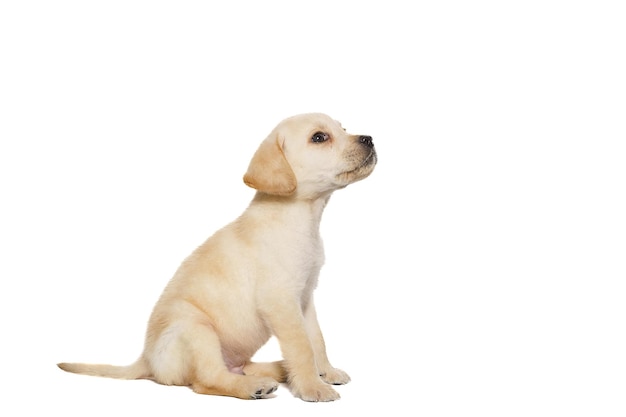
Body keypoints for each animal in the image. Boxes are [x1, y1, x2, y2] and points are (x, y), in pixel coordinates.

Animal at [59, 113, 376, 400]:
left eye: (343, 128)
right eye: (319, 137)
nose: (369, 138)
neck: (302, 216)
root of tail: (145, 359)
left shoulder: (305, 298)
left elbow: (317, 341)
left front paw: (326, 372)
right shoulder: (281, 302)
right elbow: (302, 347)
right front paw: (313, 387)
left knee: (240, 367)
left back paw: (278, 369)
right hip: (197, 330)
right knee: (208, 380)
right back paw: (255, 386)